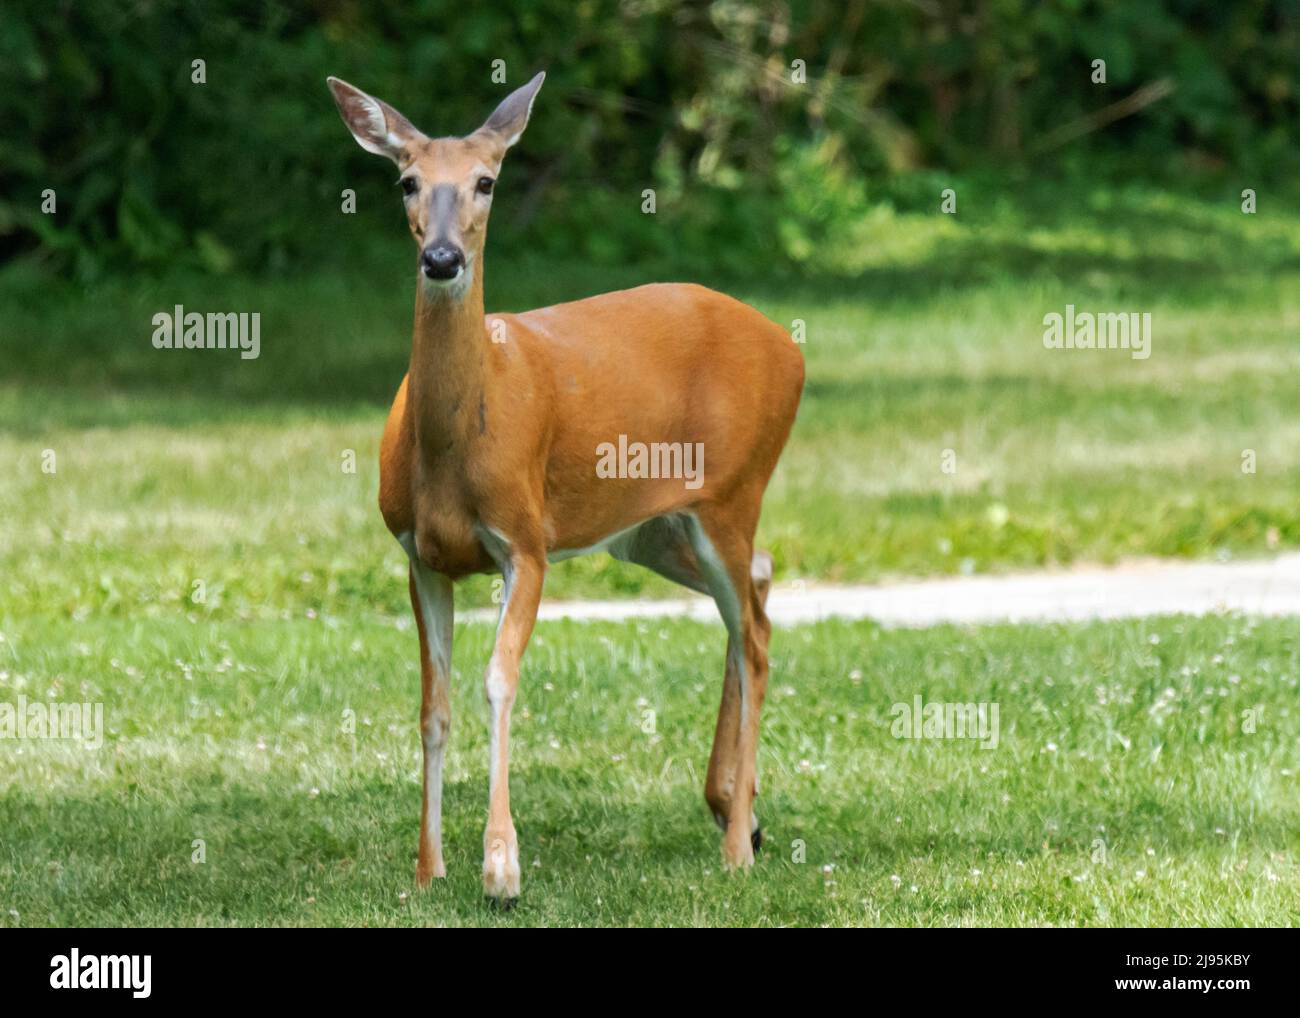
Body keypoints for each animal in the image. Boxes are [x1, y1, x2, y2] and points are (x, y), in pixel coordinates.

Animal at [327, 71, 804, 904]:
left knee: (752, 633)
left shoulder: (526, 539)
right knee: (758, 587)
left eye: (486, 181)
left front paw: (501, 868)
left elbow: (497, 681)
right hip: (652, 531)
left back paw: (736, 844)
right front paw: (427, 869)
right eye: (406, 181)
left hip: (733, 490)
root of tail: (793, 350)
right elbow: (432, 708)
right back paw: (734, 810)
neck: (455, 448)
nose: (442, 258)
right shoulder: (419, 554)